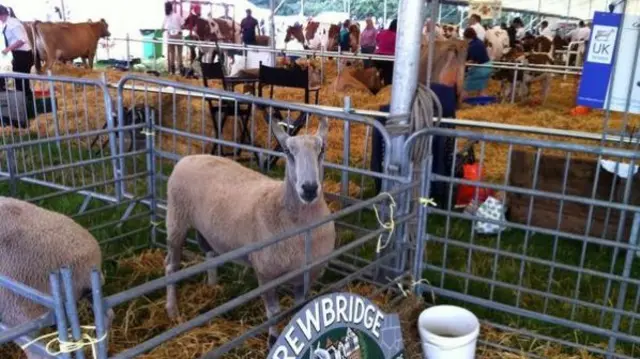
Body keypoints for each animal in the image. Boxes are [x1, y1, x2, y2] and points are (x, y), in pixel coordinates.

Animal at [164, 116, 336, 348]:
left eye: (322, 149)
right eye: (287, 151)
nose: (309, 188)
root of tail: (190, 157)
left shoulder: (306, 274)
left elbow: (300, 309)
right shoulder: (265, 272)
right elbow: (274, 312)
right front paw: (273, 340)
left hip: (206, 228)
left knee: (209, 253)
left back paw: (212, 286)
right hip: (176, 219)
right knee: (171, 267)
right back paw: (172, 310)